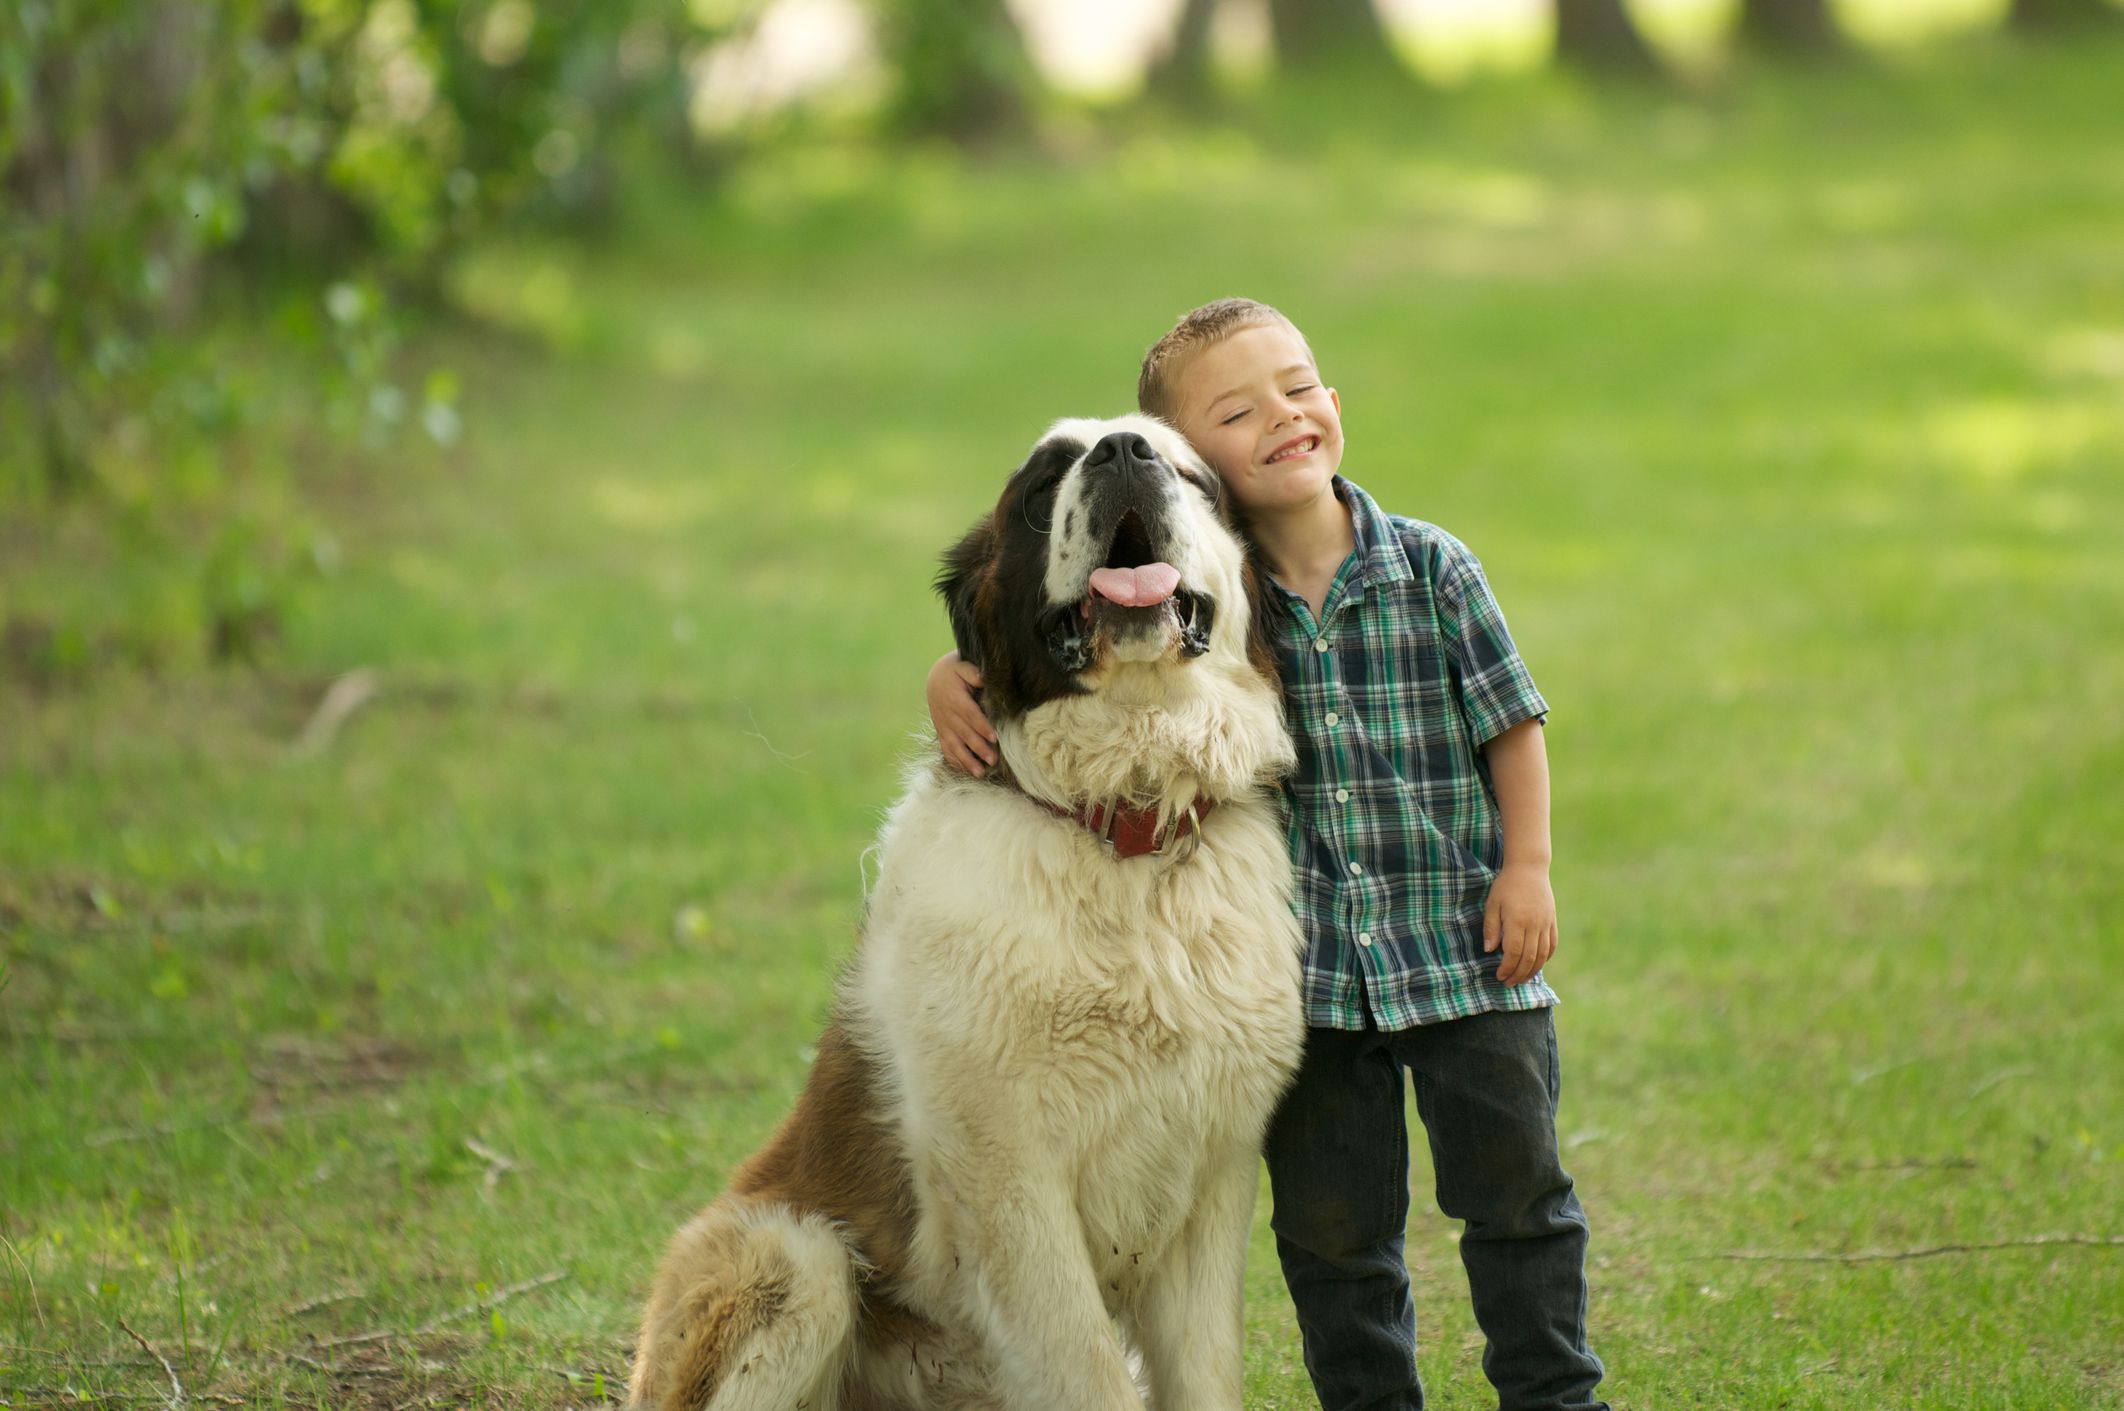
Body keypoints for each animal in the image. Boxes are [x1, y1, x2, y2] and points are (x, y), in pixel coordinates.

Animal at [620, 414, 1299, 1411]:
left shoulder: (1213, 1175)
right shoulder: (1010, 1184)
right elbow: (1086, 1367)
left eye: (1190, 474)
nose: (1123, 452)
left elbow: (1204, 1371)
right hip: (790, 1253)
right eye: (1043, 485)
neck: (1122, 827)